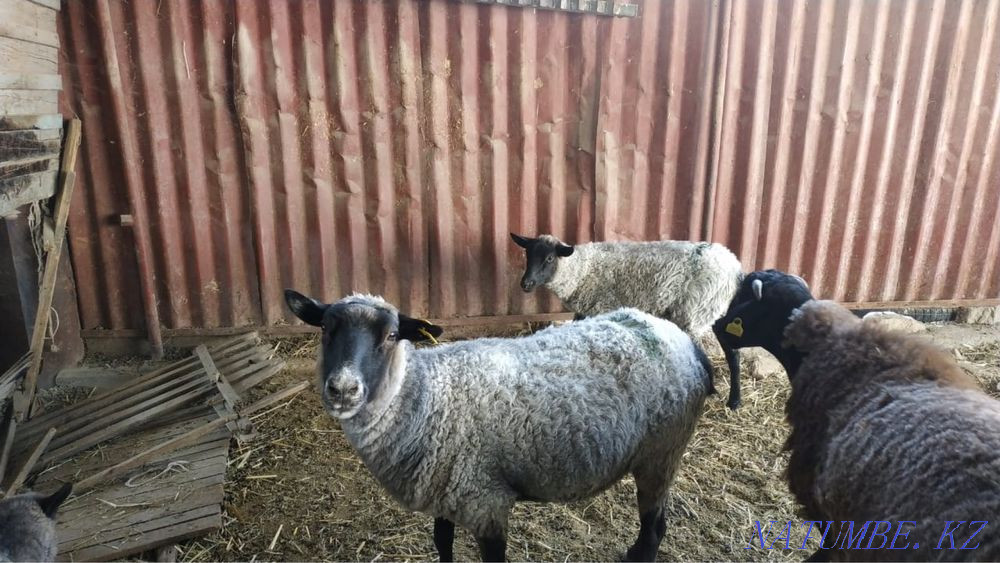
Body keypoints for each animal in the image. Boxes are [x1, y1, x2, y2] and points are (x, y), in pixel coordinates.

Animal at [284, 289, 713, 562]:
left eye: (391, 335)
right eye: (325, 330)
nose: (343, 389)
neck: (427, 396)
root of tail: (685, 342)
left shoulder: (486, 501)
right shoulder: (447, 489)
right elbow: (442, 543)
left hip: (662, 452)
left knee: (654, 526)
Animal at [510, 232, 745, 409]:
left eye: (549, 258)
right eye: (527, 254)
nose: (526, 283)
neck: (581, 271)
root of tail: (735, 268)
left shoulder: (601, 307)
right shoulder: (586, 310)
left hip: (694, 311)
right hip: (716, 310)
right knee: (732, 353)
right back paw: (733, 401)